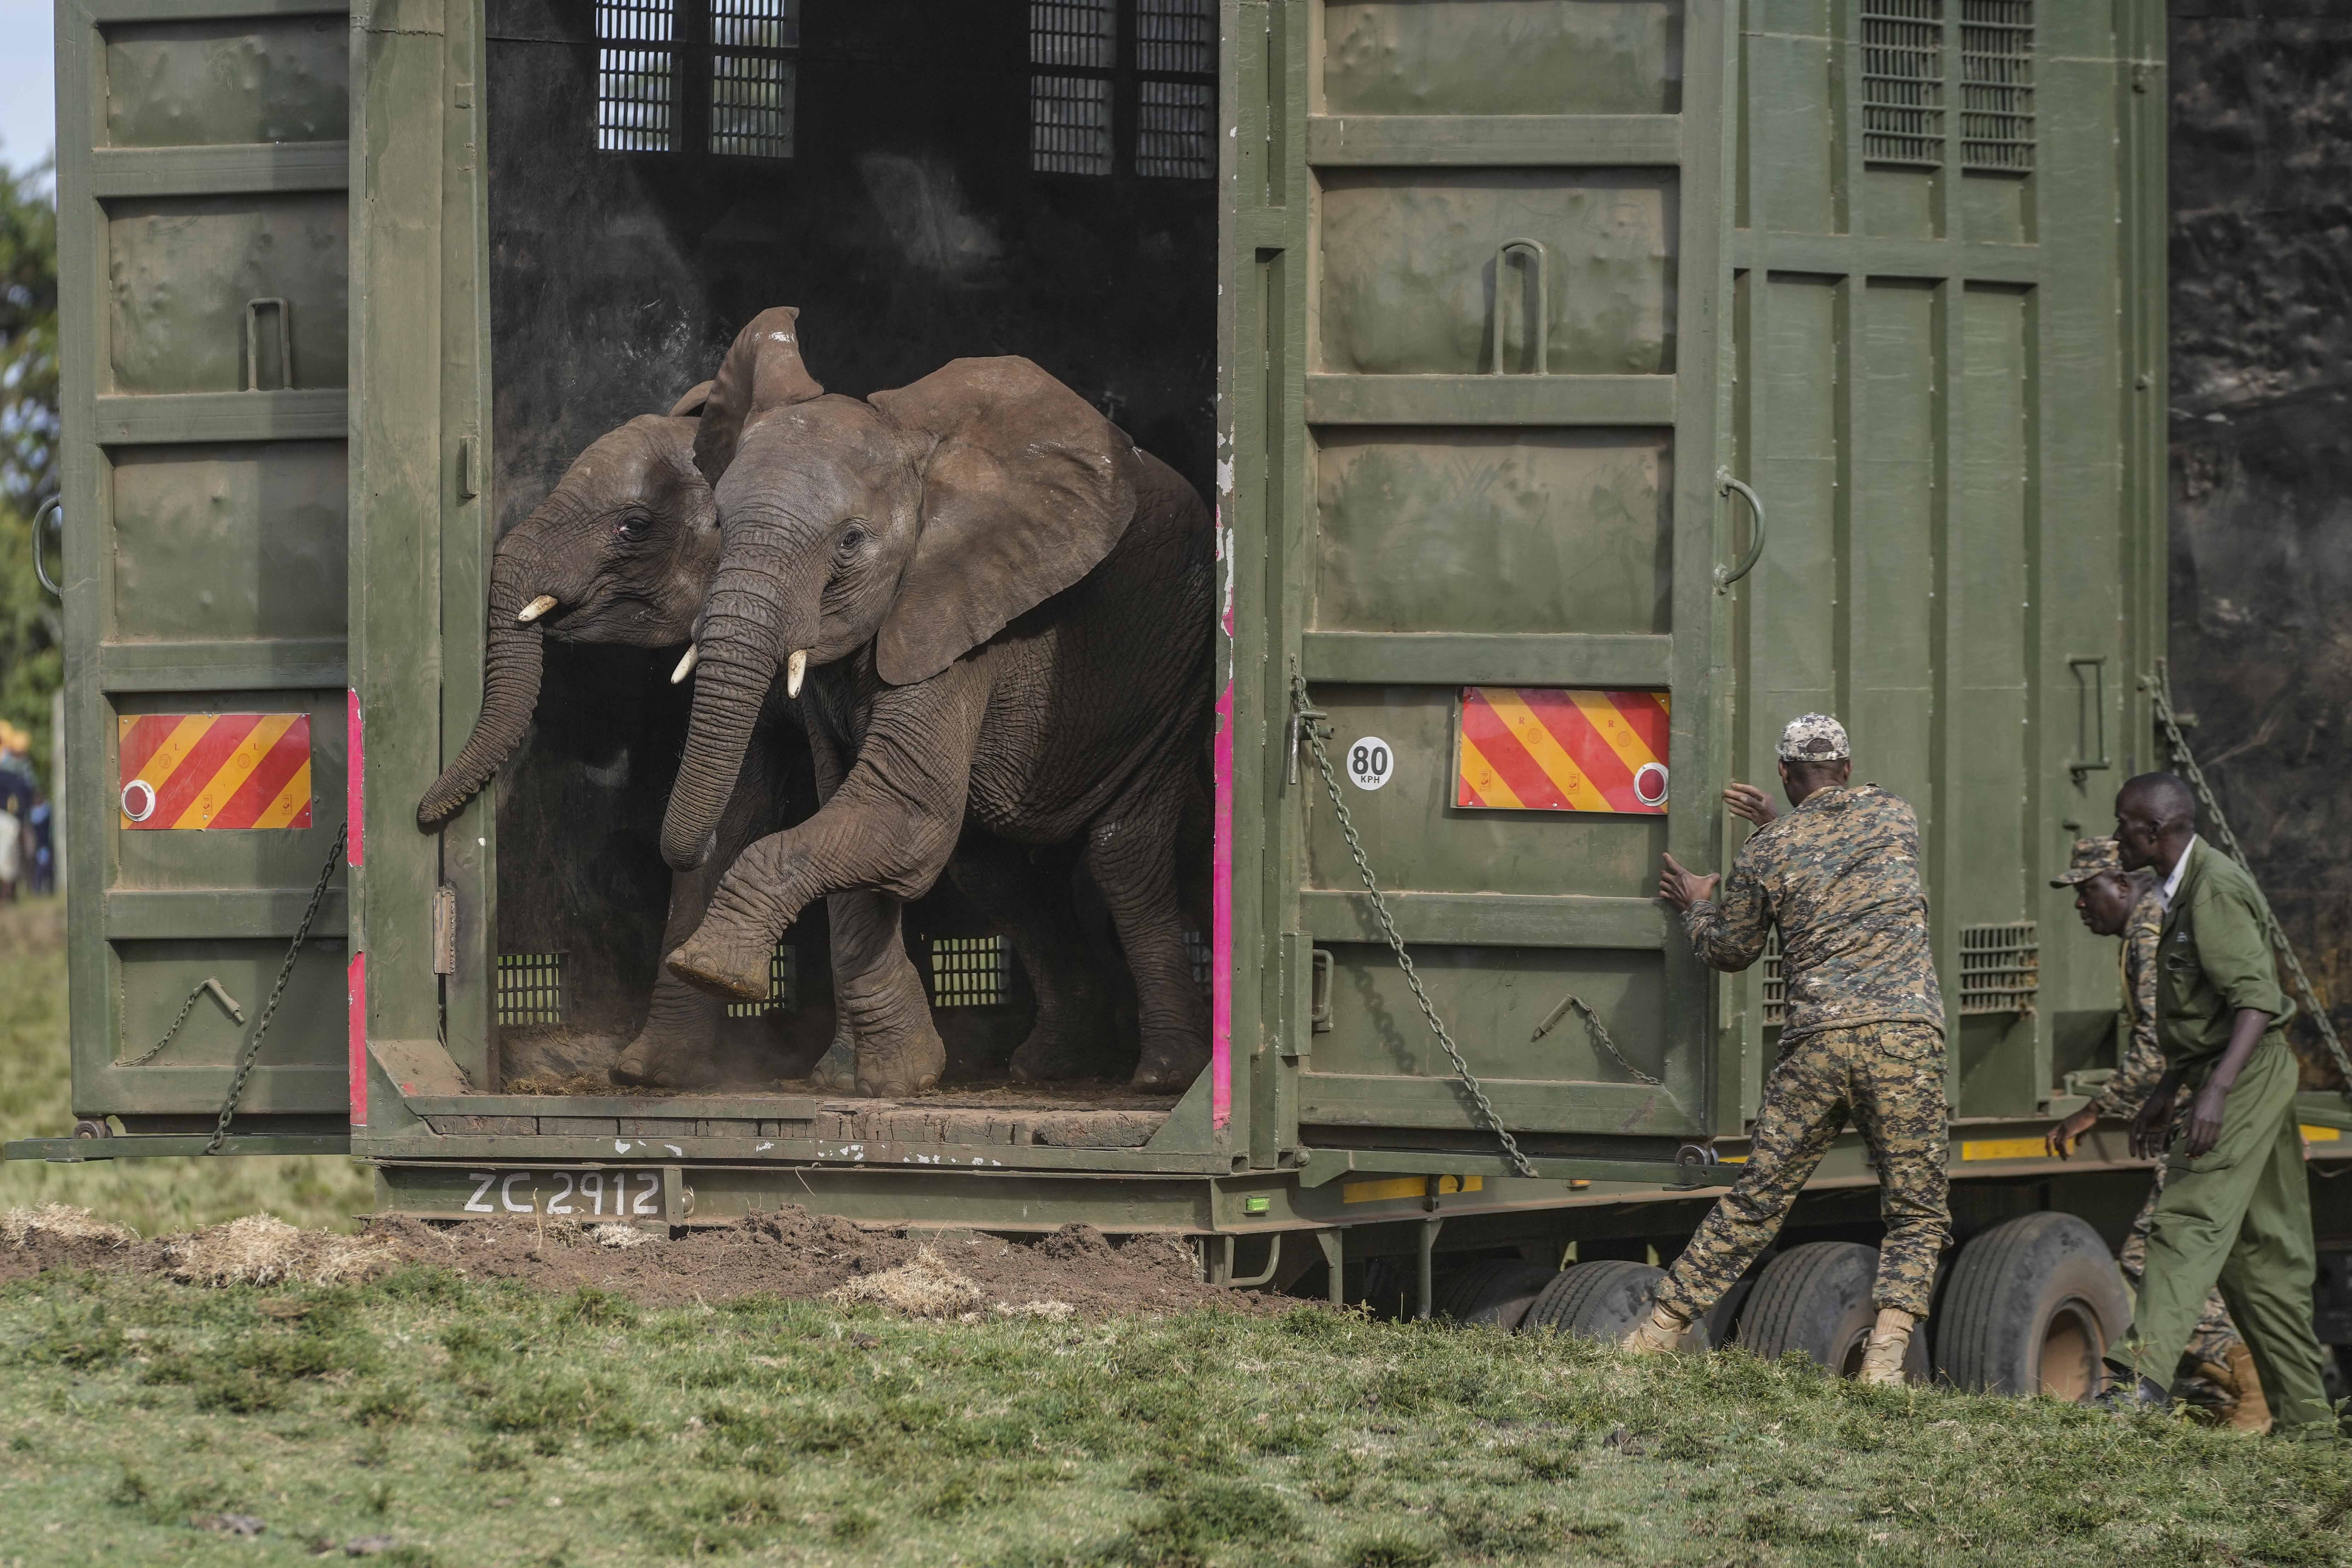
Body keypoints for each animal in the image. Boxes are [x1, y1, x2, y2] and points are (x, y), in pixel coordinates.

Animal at [656, 309, 1215, 1099]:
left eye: (851, 541)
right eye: (716, 527)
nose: (695, 844)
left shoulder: (961, 617)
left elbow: (904, 813)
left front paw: (712, 970)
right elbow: (853, 815)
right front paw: (888, 1077)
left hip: (1176, 666)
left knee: (1121, 855)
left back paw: (1162, 1076)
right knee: (996, 873)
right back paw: (1053, 1066)